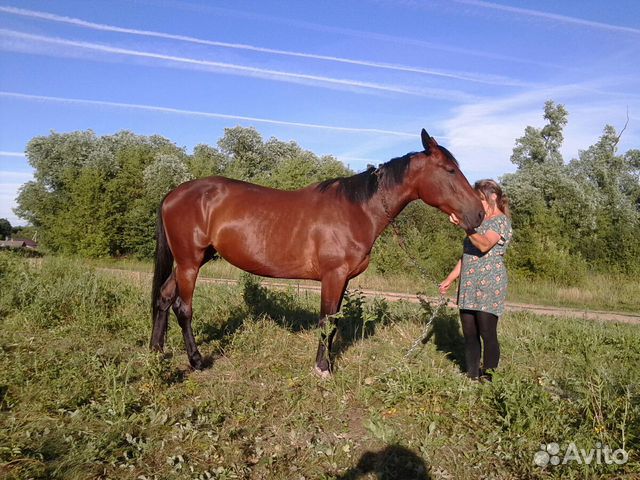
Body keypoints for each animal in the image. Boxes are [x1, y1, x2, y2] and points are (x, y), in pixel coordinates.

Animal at [150, 129, 482, 376]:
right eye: (451, 170)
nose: (478, 214)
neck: (356, 210)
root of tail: (172, 194)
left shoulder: (344, 278)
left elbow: (334, 321)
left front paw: (329, 364)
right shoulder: (332, 276)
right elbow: (326, 320)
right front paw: (321, 368)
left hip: (192, 260)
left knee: (164, 297)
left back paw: (156, 351)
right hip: (190, 262)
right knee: (183, 308)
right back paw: (196, 361)